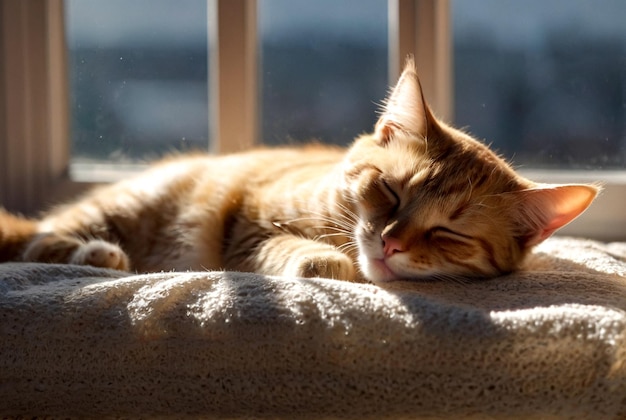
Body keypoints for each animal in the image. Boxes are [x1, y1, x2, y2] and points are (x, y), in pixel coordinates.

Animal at [0, 60, 596, 284]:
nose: (390, 242)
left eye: (450, 231)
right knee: (39, 238)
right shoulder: (249, 223)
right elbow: (295, 249)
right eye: (389, 192)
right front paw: (329, 262)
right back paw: (95, 254)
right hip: (128, 207)